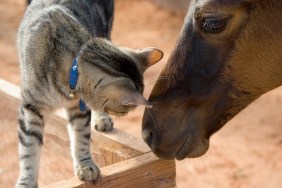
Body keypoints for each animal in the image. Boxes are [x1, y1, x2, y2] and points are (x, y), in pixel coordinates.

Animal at [16, 0, 163, 187]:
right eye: (124, 110)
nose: (122, 115)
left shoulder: (80, 108)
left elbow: (81, 138)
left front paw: (85, 165)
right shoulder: (31, 108)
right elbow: (29, 150)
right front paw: (26, 181)